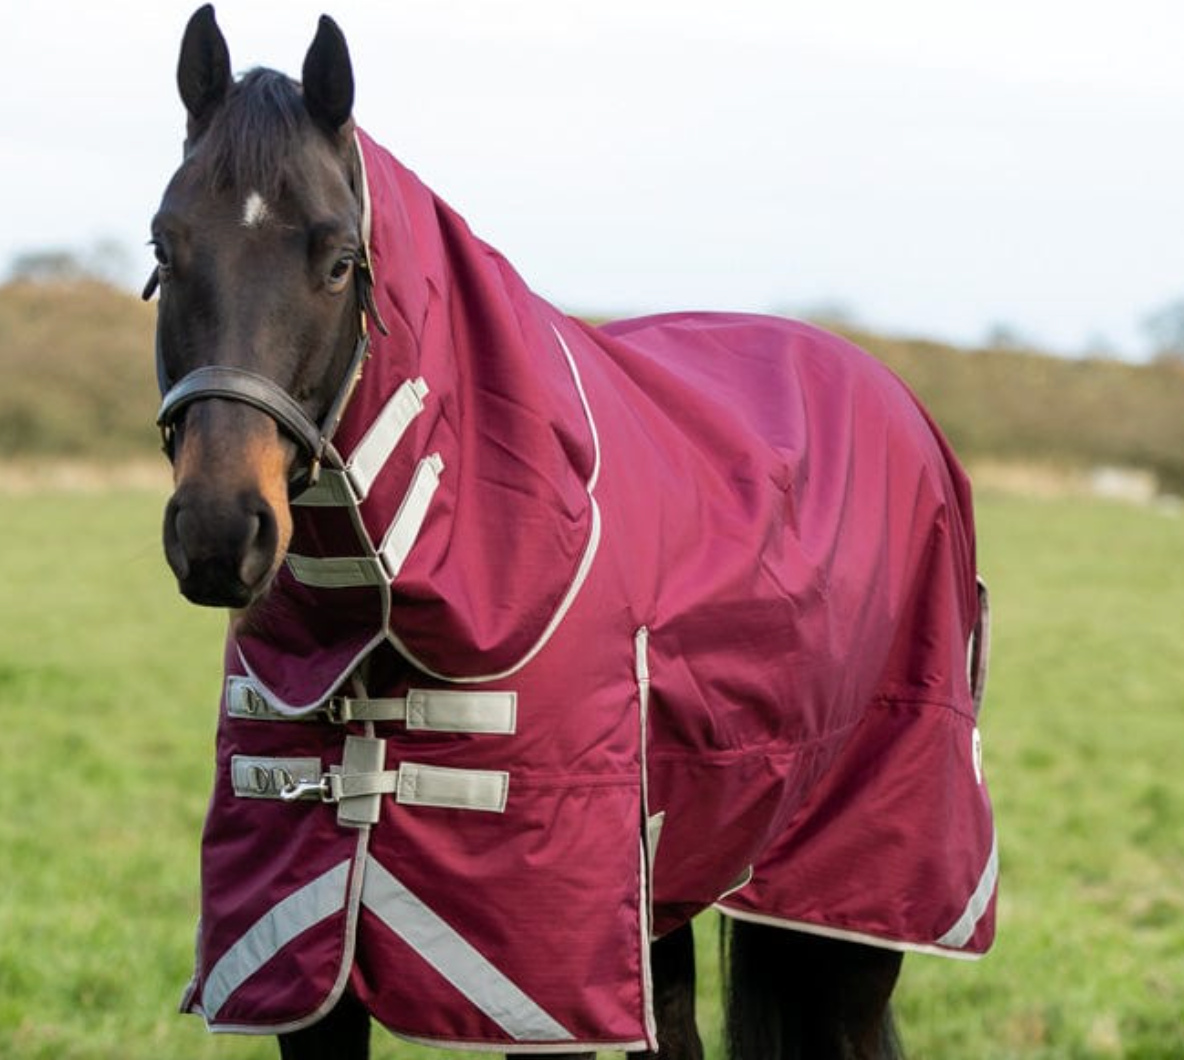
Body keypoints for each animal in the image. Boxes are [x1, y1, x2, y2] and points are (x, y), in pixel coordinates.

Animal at [147, 7, 997, 1059]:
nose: (219, 531)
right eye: (165, 248)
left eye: (341, 261)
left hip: (854, 904)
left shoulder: (550, 975)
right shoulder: (304, 977)